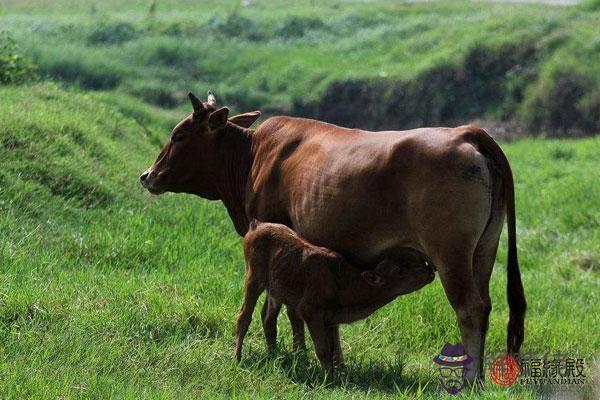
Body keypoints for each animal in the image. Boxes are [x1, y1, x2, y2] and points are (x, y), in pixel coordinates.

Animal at [236, 219, 436, 372]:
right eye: (401, 270)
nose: (428, 270)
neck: (341, 282)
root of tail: (257, 225)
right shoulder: (310, 312)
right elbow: (323, 349)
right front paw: (327, 380)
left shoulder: (330, 319)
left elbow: (332, 350)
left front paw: (334, 374)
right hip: (253, 280)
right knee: (244, 317)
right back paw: (237, 359)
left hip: (275, 291)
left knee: (268, 318)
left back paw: (273, 355)